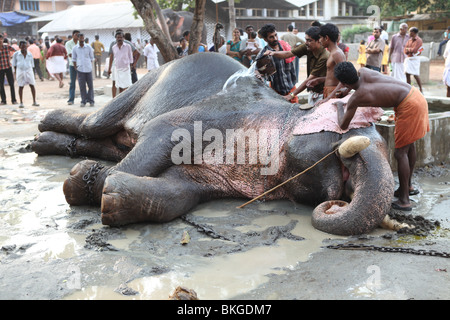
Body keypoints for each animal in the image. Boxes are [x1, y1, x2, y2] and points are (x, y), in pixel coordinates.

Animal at [31, 53, 396, 235]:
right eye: (348, 137)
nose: (338, 203)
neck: (287, 110)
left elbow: (179, 192)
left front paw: (110, 197)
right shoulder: (218, 111)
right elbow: (163, 130)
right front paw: (87, 182)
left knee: (108, 142)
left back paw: (43, 142)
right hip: (148, 79)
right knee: (95, 124)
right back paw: (42, 130)